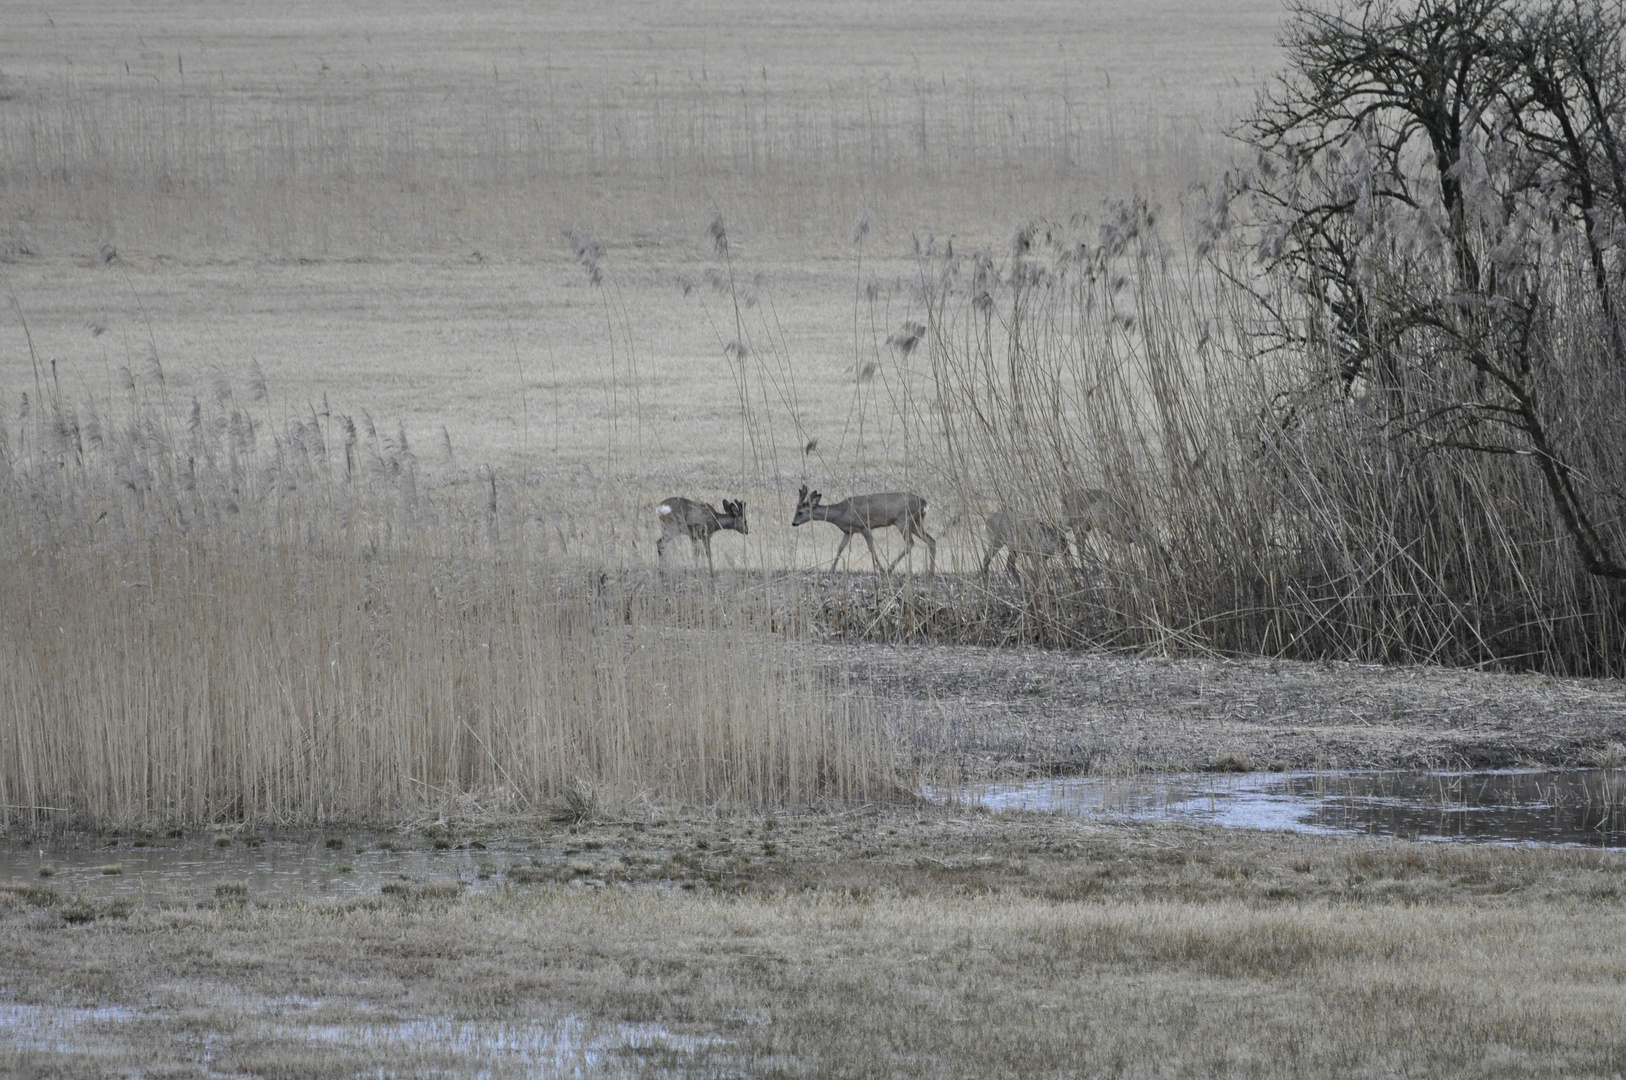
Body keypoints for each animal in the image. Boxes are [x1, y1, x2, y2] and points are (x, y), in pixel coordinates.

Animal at [790, 484, 936, 579]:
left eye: (800, 512)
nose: (793, 523)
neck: (842, 513)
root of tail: (924, 503)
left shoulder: (864, 526)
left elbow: (871, 547)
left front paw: (880, 569)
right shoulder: (848, 531)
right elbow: (840, 548)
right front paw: (831, 570)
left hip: (903, 521)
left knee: (910, 543)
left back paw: (889, 569)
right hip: (916, 522)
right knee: (931, 540)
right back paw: (931, 571)